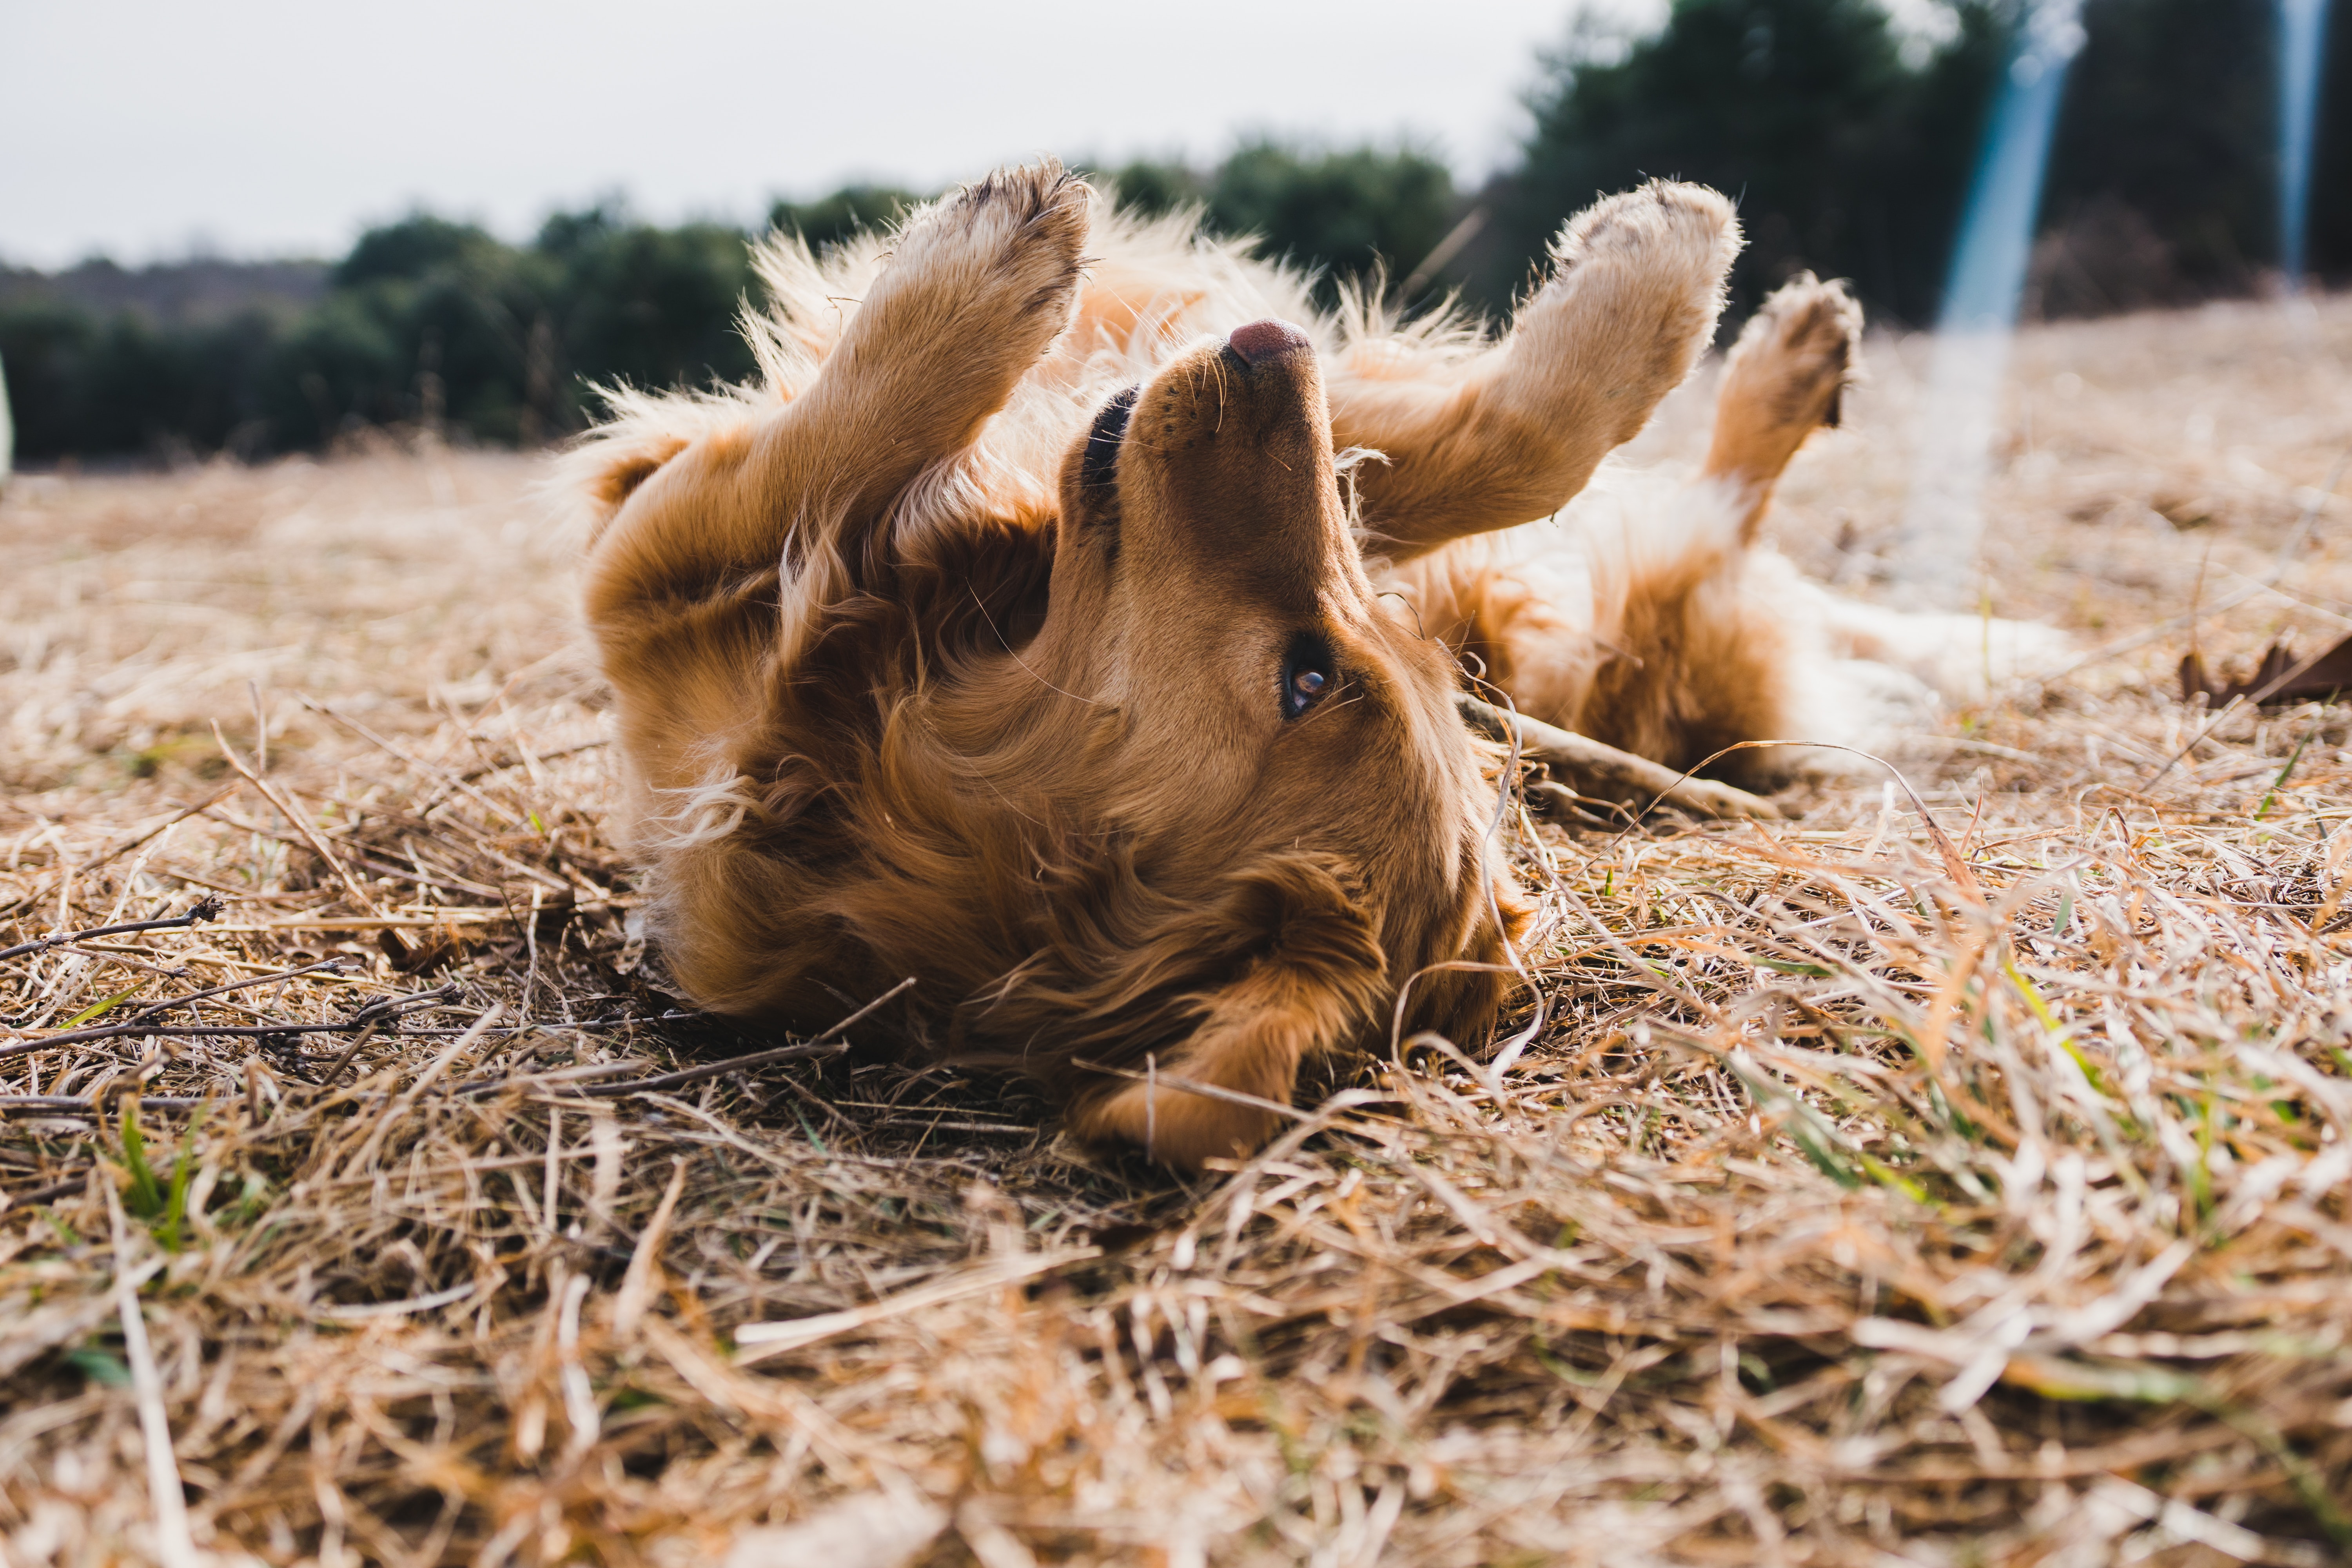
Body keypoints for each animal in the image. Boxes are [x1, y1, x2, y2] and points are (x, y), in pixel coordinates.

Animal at [569, 162, 2023, 1166]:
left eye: (1308, 679)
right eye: (1352, 662)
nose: (1274, 347)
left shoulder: (651, 585)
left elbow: (836, 446)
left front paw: (977, 273)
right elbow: (1497, 450)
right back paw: (1794, 353)